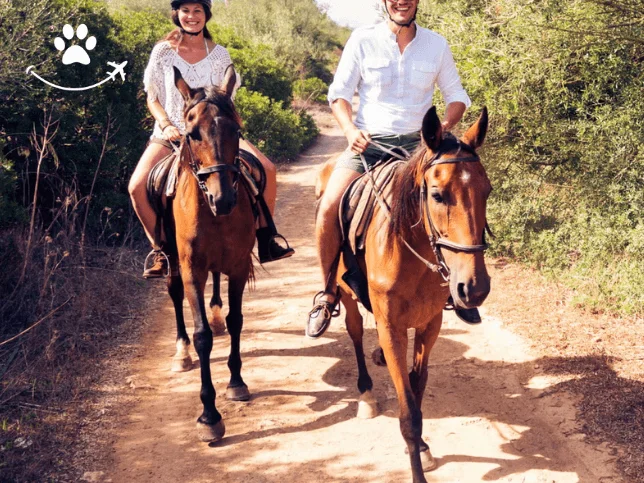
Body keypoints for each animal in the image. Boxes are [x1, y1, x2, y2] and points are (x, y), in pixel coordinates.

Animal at [318, 106, 491, 483]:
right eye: (437, 194)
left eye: (487, 191)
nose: (474, 288)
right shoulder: (392, 329)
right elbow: (408, 410)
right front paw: (418, 468)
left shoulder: (430, 324)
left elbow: (416, 386)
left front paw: (422, 447)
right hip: (345, 294)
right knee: (355, 332)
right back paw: (366, 393)